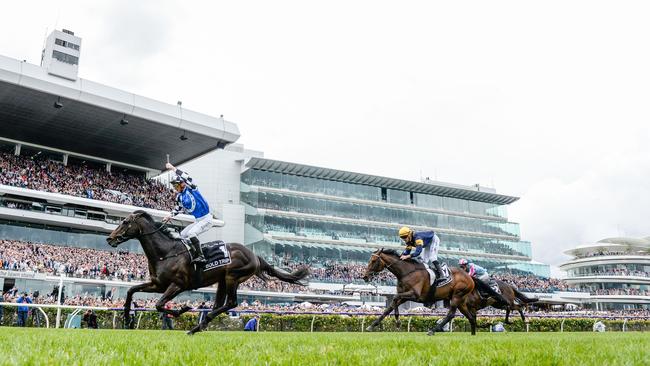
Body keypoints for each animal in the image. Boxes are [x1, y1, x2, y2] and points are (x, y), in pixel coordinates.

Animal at [106, 212, 308, 334]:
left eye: (125, 222)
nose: (109, 239)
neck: (166, 253)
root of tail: (254, 255)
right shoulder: (158, 284)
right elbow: (131, 290)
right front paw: (126, 315)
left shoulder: (178, 285)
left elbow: (159, 304)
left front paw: (183, 309)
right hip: (222, 280)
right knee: (220, 304)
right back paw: (198, 326)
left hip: (233, 276)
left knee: (231, 303)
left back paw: (201, 323)